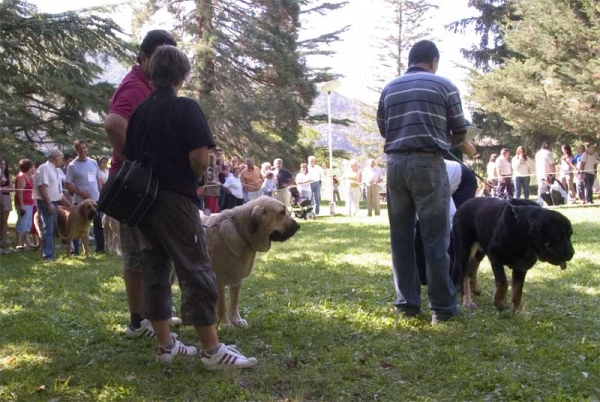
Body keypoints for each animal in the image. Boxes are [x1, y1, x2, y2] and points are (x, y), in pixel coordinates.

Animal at [202, 196, 300, 328]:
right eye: (281, 213)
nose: (298, 226)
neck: (241, 233)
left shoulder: (237, 278)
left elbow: (234, 301)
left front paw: (236, 320)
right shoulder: (218, 280)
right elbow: (222, 303)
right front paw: (225, 323)